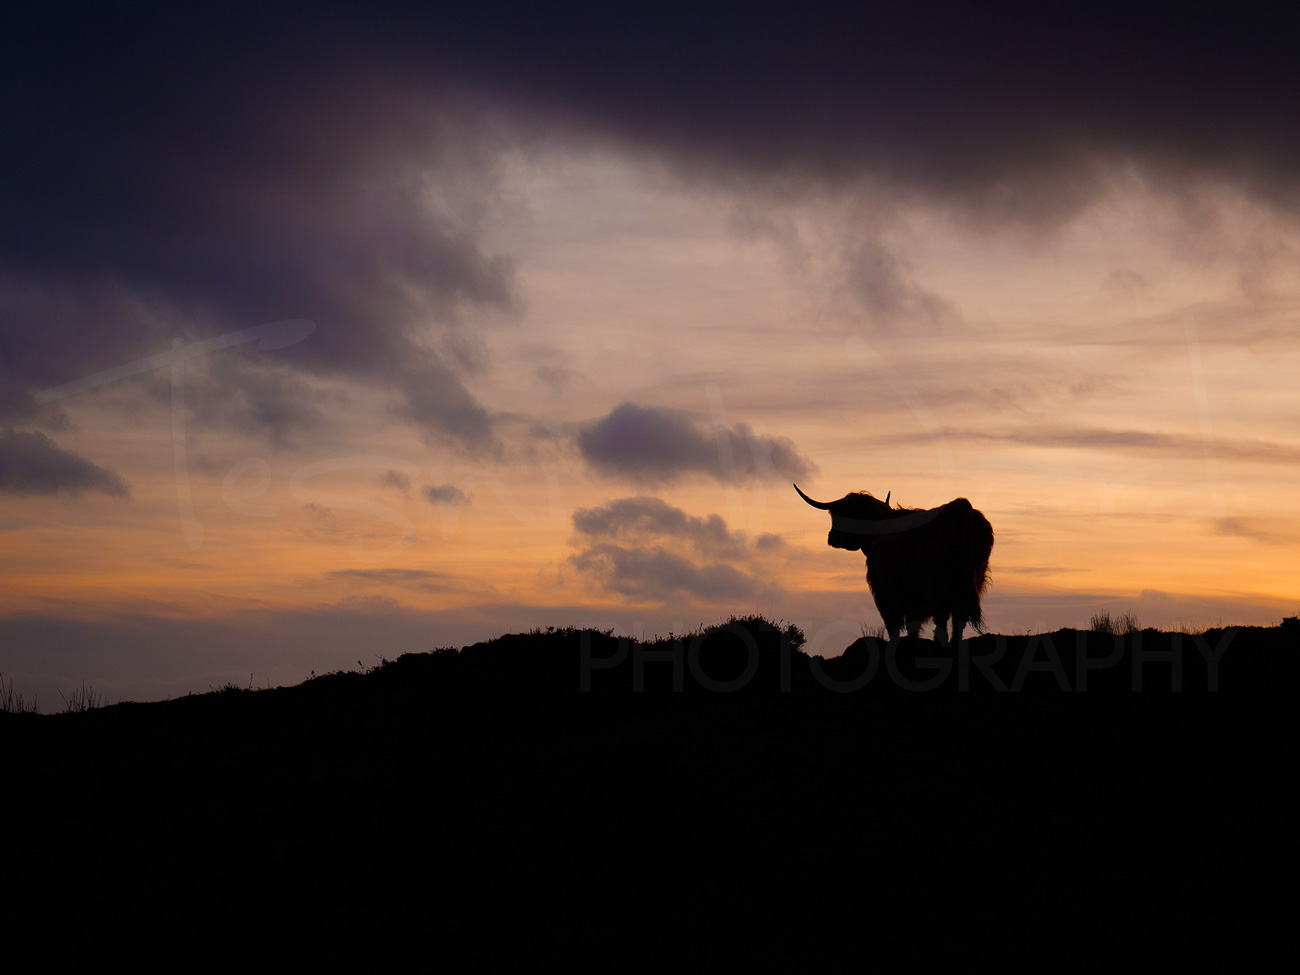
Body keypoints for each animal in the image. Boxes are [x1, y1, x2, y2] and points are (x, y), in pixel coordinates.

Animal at [795, 484, 993, 645]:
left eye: (839, 515)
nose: (831, 537)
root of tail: (960, 507)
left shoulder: (885, 594)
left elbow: (896, 626)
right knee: (958, 620)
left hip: (937, 586)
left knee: (942, 619)